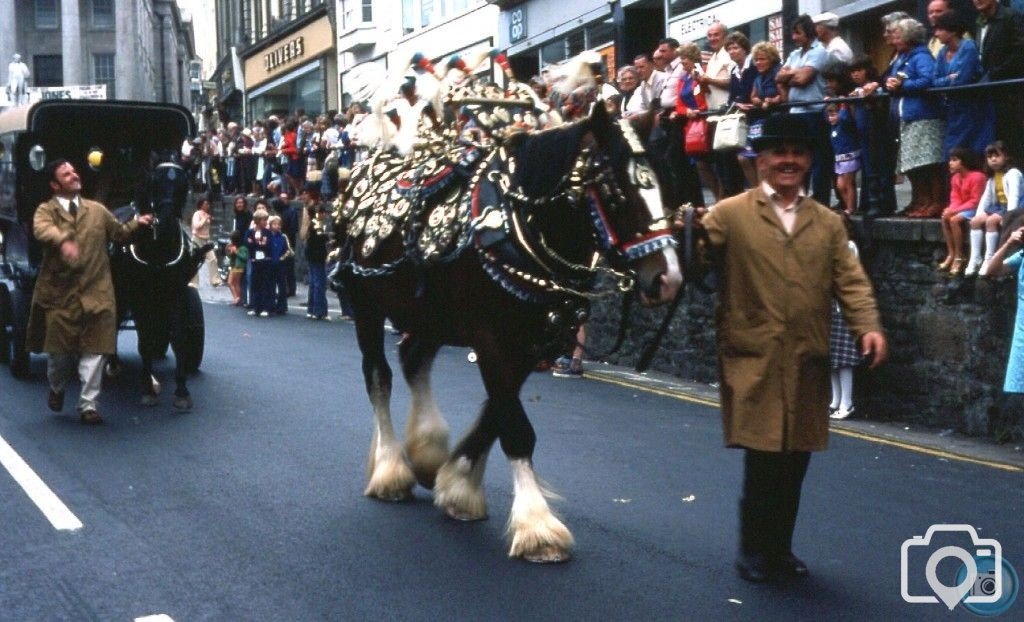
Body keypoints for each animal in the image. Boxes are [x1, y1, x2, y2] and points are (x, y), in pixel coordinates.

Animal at [110, 150, 205, 411]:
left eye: (183, 183)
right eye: (155, 182)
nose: (165, 221)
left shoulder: (175, 293)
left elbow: (179, 337)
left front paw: (181, 390)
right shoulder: (138, 297)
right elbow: (143, 340)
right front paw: (147, 389)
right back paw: (113, 363)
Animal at [335, 104, 684, 561]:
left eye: (666, 186)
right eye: (616, 193)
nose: (668, 279)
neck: (523, 230)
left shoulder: (533, 343)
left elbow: (497, 414)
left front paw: (458, 486)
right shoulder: (491, 339)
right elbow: (515, 426)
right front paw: (538, 528)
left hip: (433, 315)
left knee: (412, 359)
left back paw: (426, 451)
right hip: (367, 307)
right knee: (378, 377)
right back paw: (391, 469)